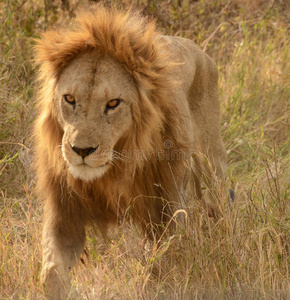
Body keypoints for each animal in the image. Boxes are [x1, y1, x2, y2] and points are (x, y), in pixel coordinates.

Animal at [34, 4, 228, 300]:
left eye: (113, 103)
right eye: (69, 99)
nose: (81, 150)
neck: (117, 165)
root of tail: (199, 50)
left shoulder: (167, 210)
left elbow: (158, 267)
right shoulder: (64, 214)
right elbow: (51, 273)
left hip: (211, 168)